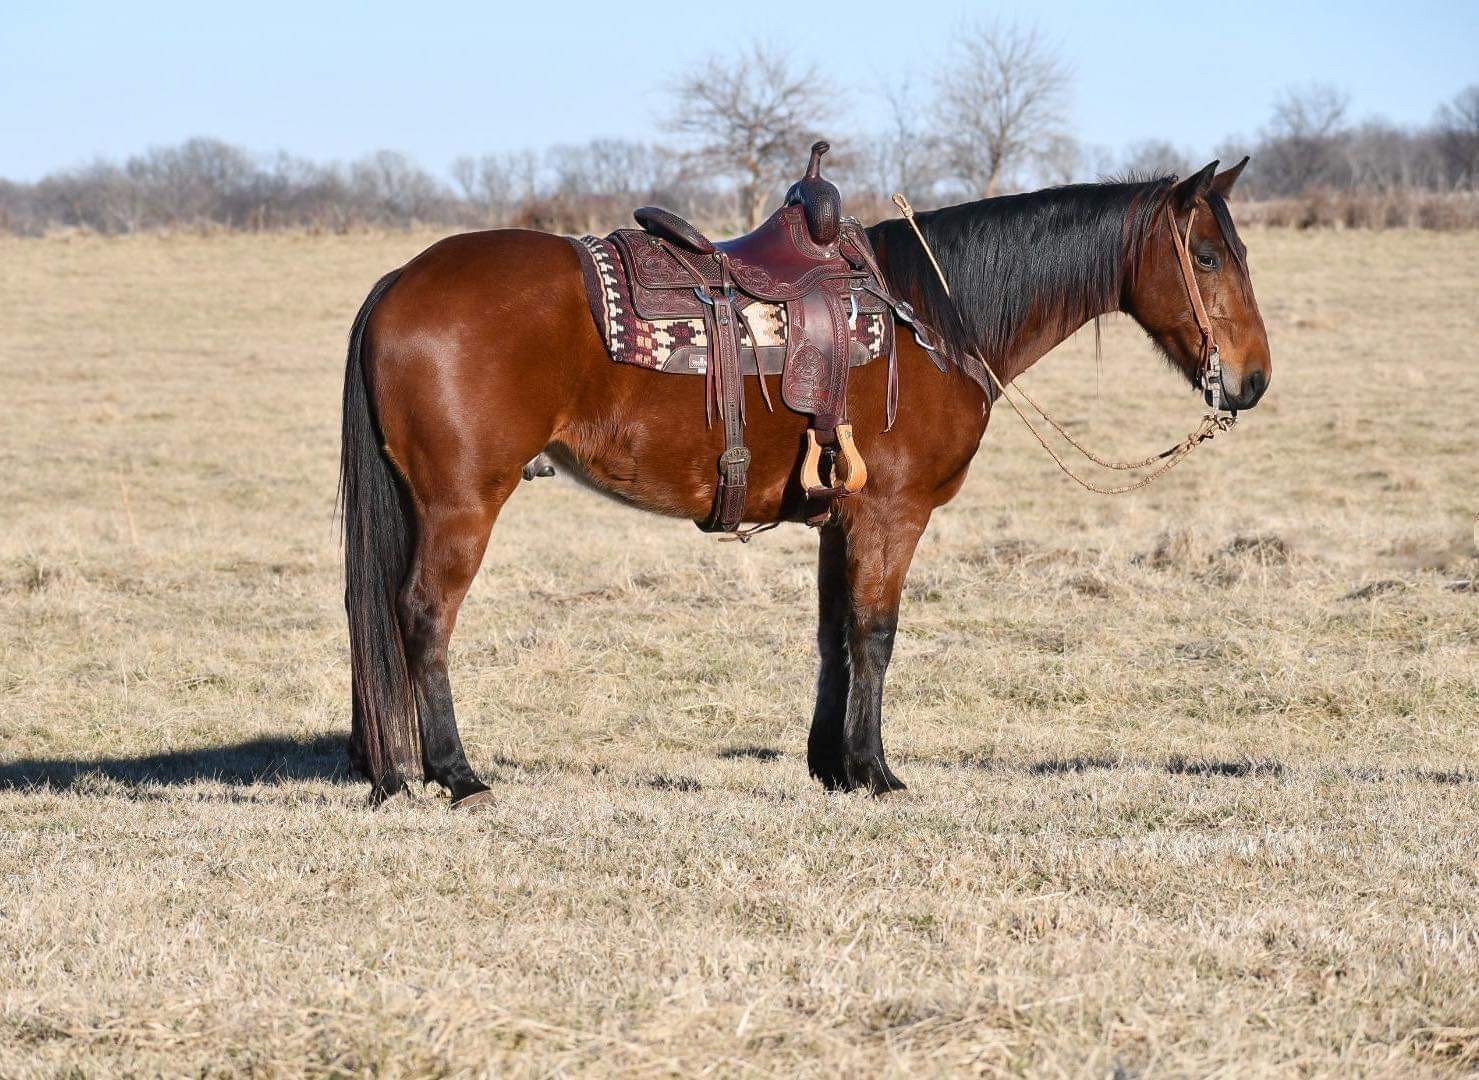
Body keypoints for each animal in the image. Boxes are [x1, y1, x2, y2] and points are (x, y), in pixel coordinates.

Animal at [338, 157, 1271, 798]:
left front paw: (832, 766)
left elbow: (833, 637)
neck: (929, 315)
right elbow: (876, 635)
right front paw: (876, 771)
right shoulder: (891, 515)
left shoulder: (840, 518)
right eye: (1206, 257)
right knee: (423, 616)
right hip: (461, 504)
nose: (1253, 380)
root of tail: (399, 280)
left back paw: (394, 771)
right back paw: (456, 774)